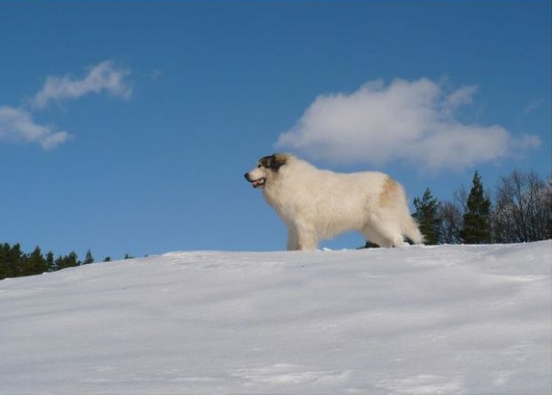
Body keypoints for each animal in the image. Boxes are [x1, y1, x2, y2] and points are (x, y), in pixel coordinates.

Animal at [245, 154, 422, 251]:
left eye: (260, 165)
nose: (245, 175)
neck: (283, 178)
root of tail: (390, 181)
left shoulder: (303, 226)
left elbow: (305, 245)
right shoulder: (292, 227)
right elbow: (291, 247)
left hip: (382, 221)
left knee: (398, 238)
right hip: (371, 229)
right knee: (388, 242)